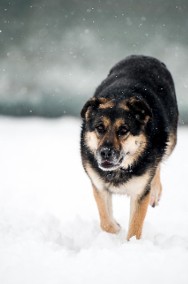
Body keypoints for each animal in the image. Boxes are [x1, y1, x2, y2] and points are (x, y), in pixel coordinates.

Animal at [80, 55, 178, 240]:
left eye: (123, 130)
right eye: (99, 128)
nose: (105, 153)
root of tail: (144, 56)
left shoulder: (140, 193)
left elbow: (134, 228)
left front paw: (131, 244)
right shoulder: (99, 187)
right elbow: (106, 223)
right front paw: (116, 229)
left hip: (170, 140)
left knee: (159, 162)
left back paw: (155, 192)